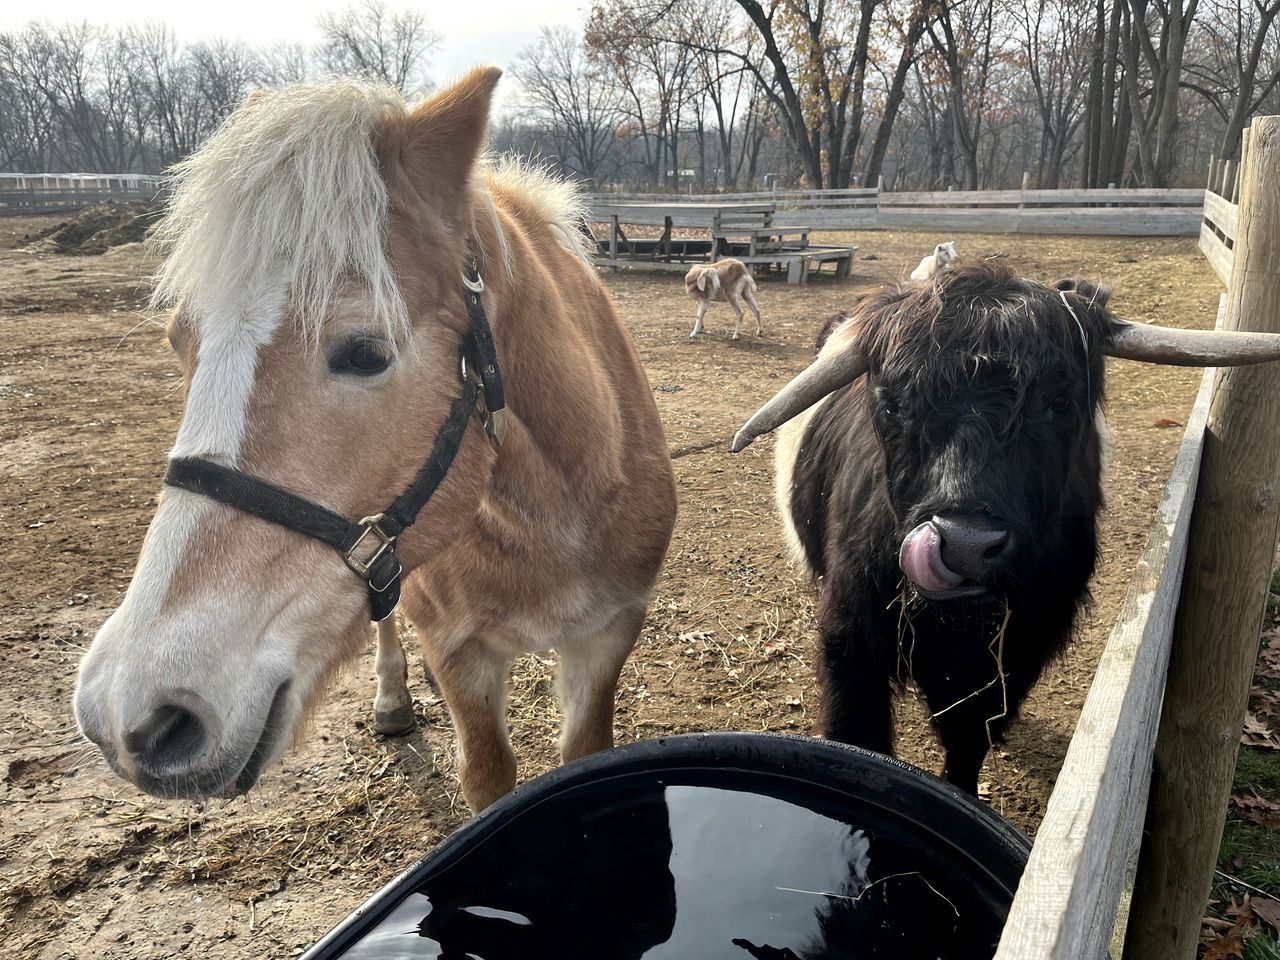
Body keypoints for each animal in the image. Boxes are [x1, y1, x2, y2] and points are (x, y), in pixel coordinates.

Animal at [71, 71, 680, 814]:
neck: (558, 510)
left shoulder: (607, 637)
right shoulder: (459, 651)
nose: (128, 711)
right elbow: (487, 772)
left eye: (365, 353)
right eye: (179, 343)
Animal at [732, 259, 1280, 793]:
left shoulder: (1018, 653)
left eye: (1060, 403)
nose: (965, 544)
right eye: (893, 403)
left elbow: (968, 741)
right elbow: (859, 736)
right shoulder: (850, 642)